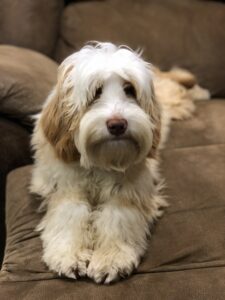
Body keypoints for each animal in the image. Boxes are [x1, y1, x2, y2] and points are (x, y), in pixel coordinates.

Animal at [29, 42, 209, 284]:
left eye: (130, 89)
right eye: (96, 92)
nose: (117, 124)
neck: (100, 162)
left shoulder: (130, 190)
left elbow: (117, 218)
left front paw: (111, 258)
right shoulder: (65, 186)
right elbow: (70, 214)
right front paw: (69, 253)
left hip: (174, 100)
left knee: (183, 87)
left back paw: (201, 91)